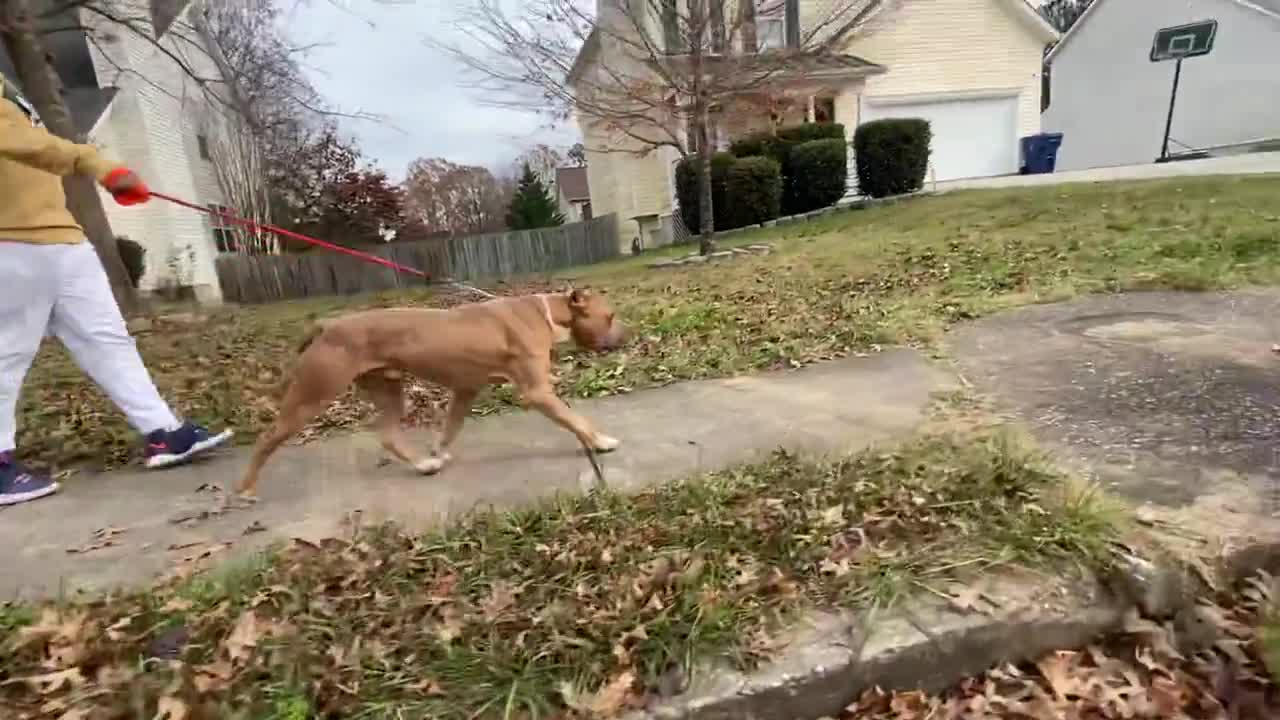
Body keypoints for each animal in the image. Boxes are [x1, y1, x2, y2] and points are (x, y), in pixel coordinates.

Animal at [238, 288, 627, 497]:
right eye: (609, 316)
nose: (625, 336)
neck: (549, 312)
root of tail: (328, 326)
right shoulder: (537, 393)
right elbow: (575, 419)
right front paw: (600, 441)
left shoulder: (465, 390)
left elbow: (451, 427)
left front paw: (438, 451)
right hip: (311, 397)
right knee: (267, 439)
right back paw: (246, 488)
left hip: (389, 391)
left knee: (389, 435)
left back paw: (424, 465)